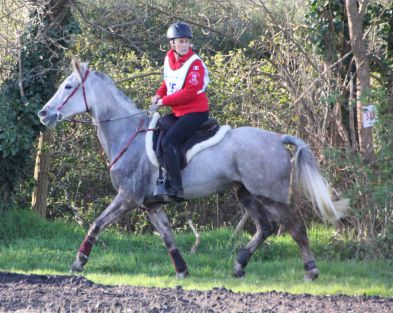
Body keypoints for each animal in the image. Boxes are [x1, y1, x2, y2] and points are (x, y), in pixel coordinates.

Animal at [37, 58, 344, 280]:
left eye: (68, 86)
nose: (43, 114)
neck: (127, 133)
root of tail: (278, 138)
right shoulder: (150, 204)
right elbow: (168, 237)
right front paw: (182, 271)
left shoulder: (127, 197)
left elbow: (96, 224)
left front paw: (78, 263)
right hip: (245, 193)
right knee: (265, 227)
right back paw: (239, 266)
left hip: (271, 196)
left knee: (295, 227)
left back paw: (311, 271)